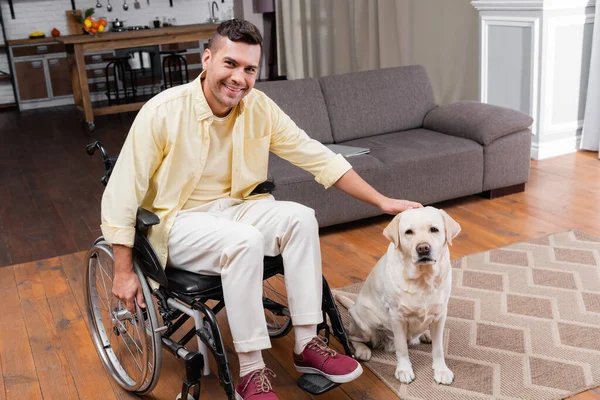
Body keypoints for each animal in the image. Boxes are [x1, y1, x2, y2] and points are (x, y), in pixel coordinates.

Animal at [338, 206, 460, 384]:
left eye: (434, 229)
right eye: (408, 232)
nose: (423, 248)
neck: (423, 279)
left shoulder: (440, 315)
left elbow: (438, 348)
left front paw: (441, 370)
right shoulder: (397, 317)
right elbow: (402, 348)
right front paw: (404, 370)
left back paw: (426, 334)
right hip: (365, 325)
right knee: (352, 336)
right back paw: (362, 350)